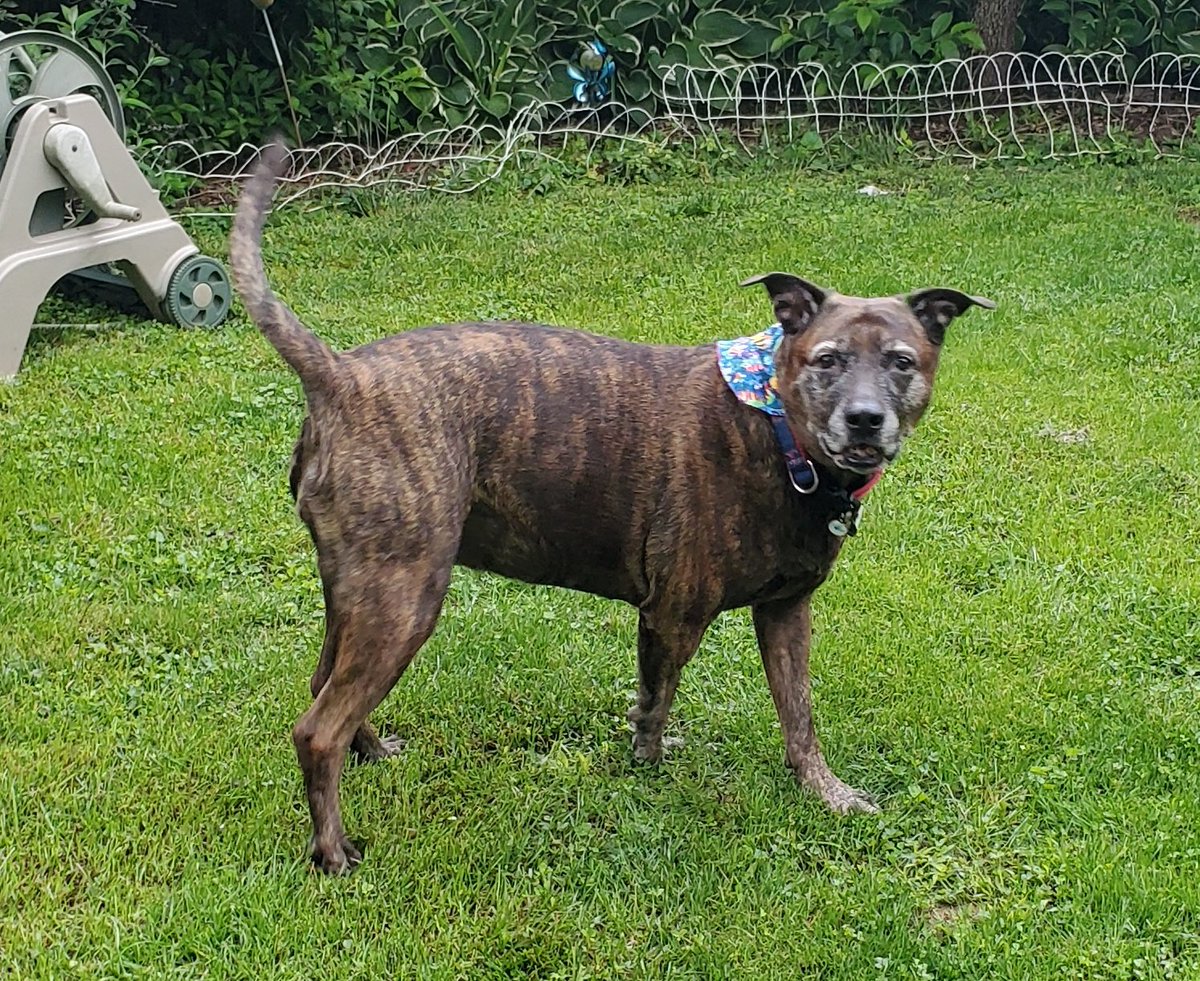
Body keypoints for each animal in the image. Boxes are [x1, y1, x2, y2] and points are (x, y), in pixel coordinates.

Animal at [226, 143, 993, 873]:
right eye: (827, 359)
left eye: (901, 361)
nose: (866, 420)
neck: (775, 430)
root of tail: (340, 374)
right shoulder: (673, 615)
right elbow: (655, 706)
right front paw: (647, 774)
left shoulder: (786, 613)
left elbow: (798, 716)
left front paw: (824, 791)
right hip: (405, 599)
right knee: (316, 727)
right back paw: (332, 851)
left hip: (358, 593)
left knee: (324, 686)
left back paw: (371, 752)